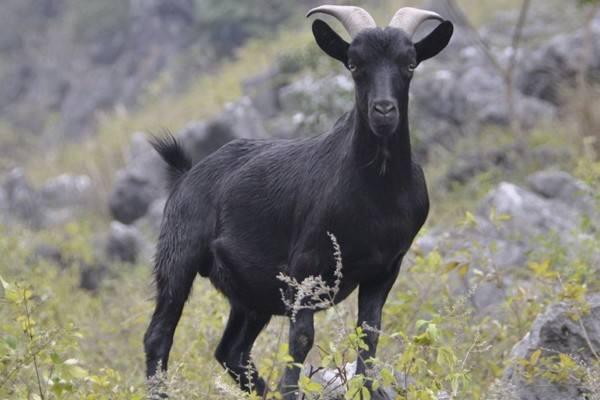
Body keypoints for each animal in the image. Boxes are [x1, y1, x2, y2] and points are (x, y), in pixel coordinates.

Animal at [145, 4, 452, 398]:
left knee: (231, 350)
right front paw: (291, 389)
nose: (383, 111)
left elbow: (369, 333)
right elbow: (302, 338)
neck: (376, 196)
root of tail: (185, 174)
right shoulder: (305, 266)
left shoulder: (385, 268)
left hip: (250, 294)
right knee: (159, 336)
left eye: (410, 63)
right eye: (354, 64)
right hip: (178, 256)